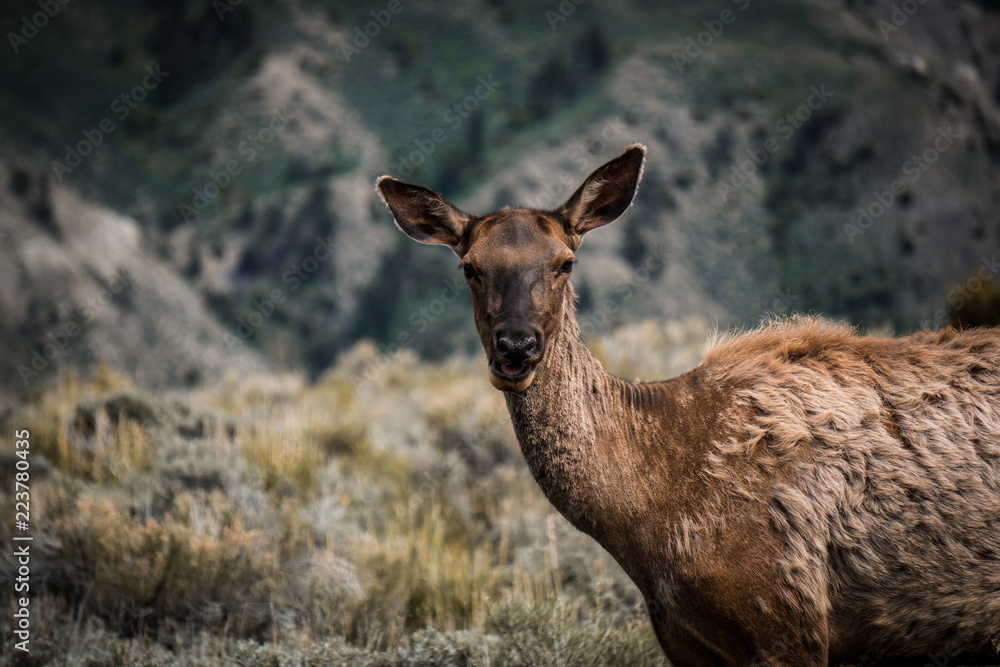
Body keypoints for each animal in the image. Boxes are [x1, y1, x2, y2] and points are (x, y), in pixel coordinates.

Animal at [376, 144, 1000, 664]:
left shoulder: (789, 620)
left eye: (565, 262)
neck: (652, 529)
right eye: (469, 267)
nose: (516, 347)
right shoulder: (687, 644)